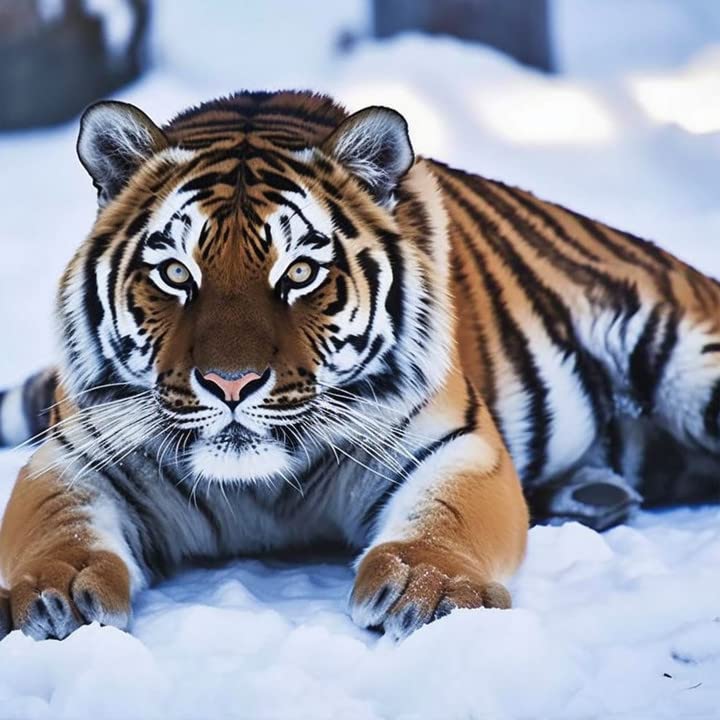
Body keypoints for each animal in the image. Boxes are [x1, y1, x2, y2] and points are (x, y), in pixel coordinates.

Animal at [0, 90, 719, 643]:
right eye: (176, 273)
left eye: (299, 273)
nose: (232, 384)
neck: (261, 491)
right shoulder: (72, 457)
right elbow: (58, 526)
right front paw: (57, 591)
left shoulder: (458, 444)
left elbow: (445, 517)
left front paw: (431, 586)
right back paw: (594, 495)